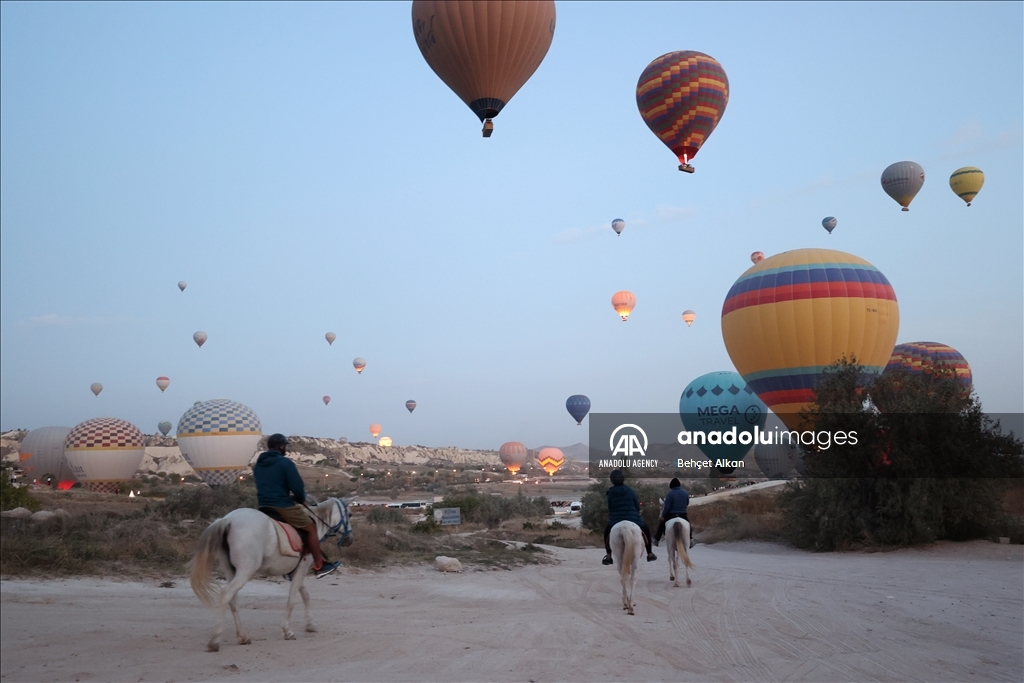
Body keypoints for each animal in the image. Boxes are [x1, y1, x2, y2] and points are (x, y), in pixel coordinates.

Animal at [188, 497, 352, 651]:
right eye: (349, 514)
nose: (349, 540)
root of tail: (228, 520)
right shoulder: (302, 568)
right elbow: (292, 600)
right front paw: (287, 632)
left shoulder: (296, 572)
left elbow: (305, 596)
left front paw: (310, 624)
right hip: (245, 570)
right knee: (226, 593)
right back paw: (215, 640)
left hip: (230, 571)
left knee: (232, 599)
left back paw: (242, 636)